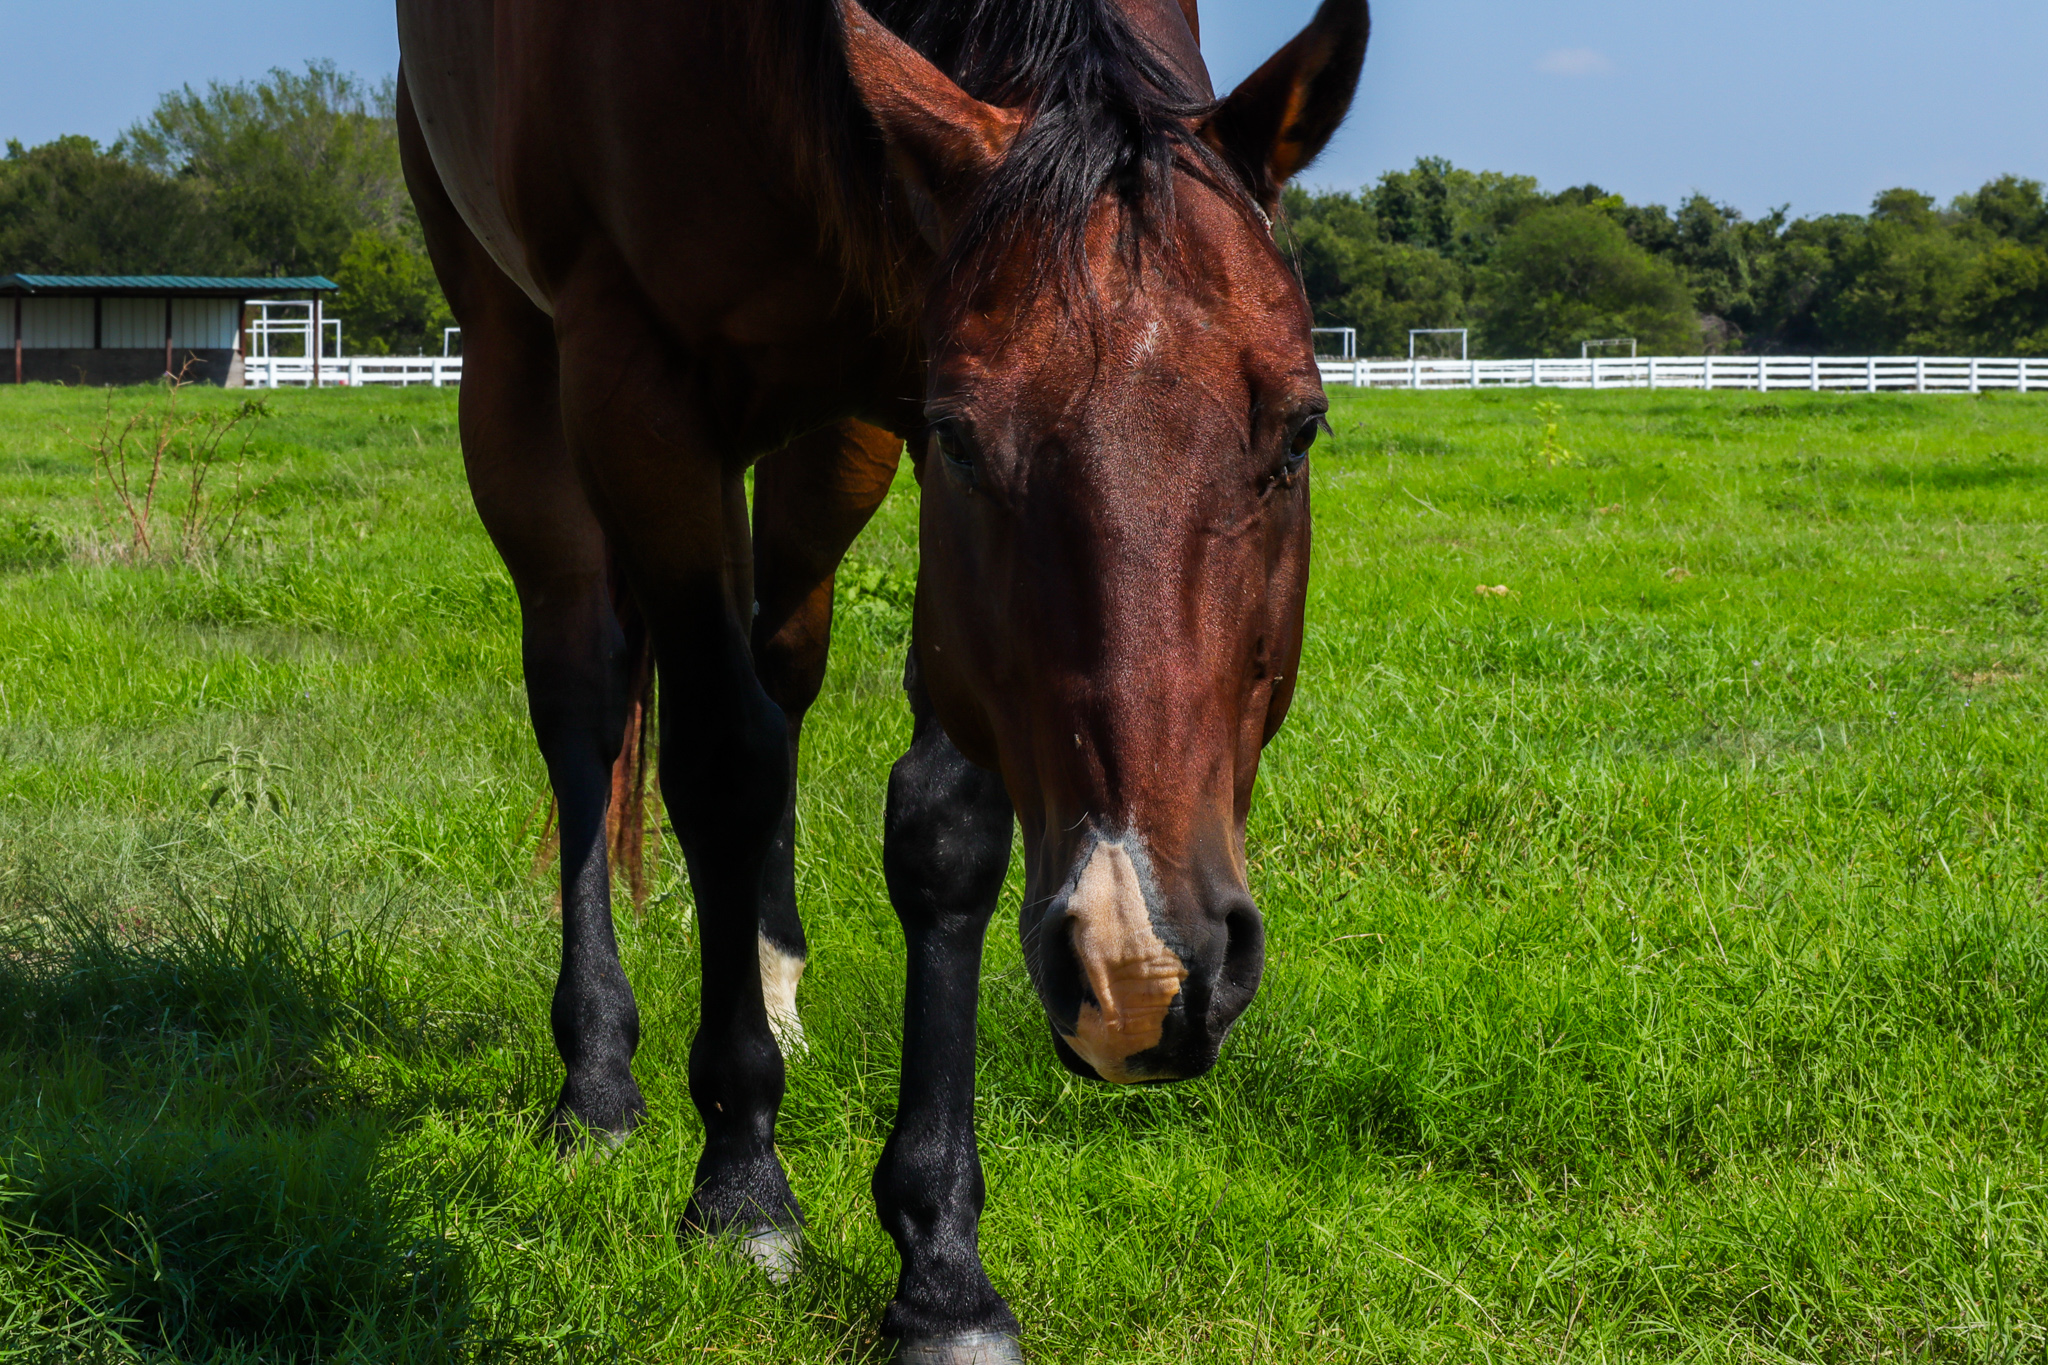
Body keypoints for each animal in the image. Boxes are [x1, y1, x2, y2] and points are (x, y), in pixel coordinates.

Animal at [395, 0, 1359, 1358]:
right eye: (964, 440)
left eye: (1298, 429)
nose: (1141, 969)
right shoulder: (644, 395)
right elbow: (718, 770)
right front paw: (740, 1185)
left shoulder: (903, 369)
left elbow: (942, 832)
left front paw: (943, 1267)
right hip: (516, 372)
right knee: (589, 701)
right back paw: (599, 1077)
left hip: (827, 444)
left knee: (778, 668)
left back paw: (771, 977)